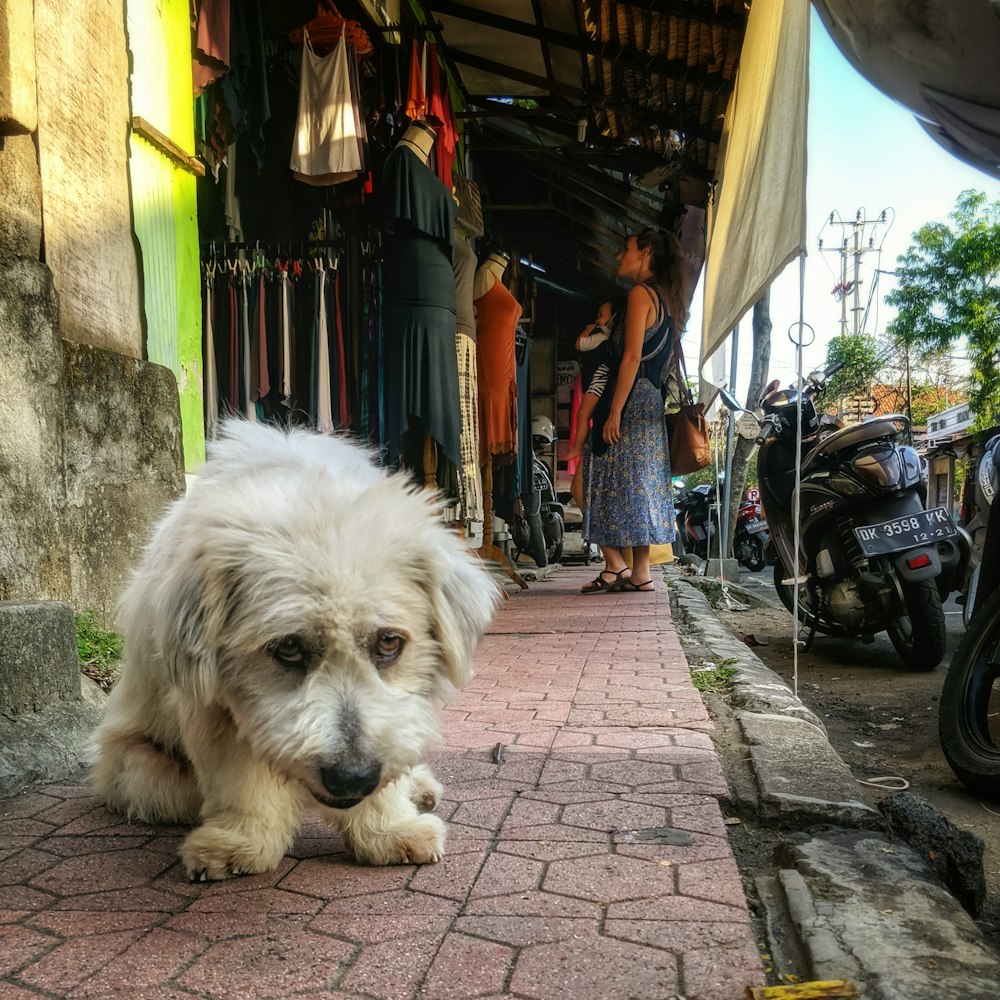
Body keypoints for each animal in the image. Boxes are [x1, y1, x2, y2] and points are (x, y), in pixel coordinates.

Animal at [92, 422, 498, 884]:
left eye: (388, 642)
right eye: (287, 647)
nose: (352, 779)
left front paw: (388, 829)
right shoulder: (216, 710)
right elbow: (241, 780)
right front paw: (242, 842)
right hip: (146, 770)